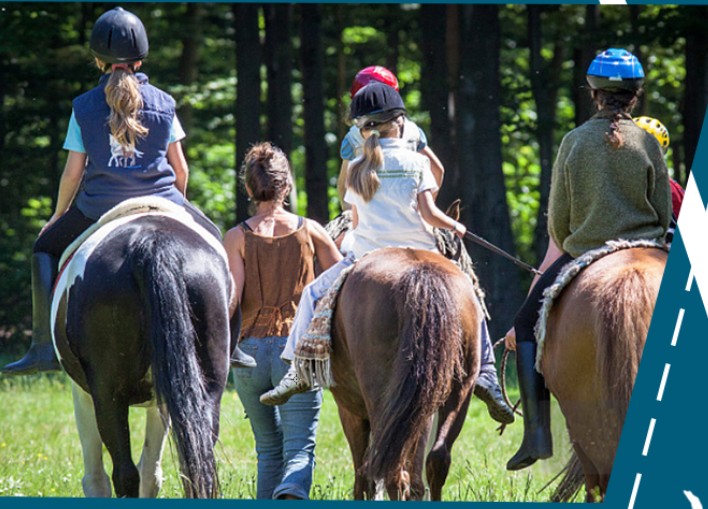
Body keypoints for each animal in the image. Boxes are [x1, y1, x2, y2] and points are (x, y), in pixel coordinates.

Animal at [51, 200, 231, 498]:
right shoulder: (165, 398)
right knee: (195, 464)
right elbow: (152, 471)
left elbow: (96, 477)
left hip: (108, 394)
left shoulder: (83, 393)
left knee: (123, 473)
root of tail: (152, 243)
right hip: (205, 390)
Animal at [328, 247, 482, 500]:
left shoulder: (350, 410)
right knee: (436, 460)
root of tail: (422, 276)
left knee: (392, 473)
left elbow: (363, 476)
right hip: (455, 390)